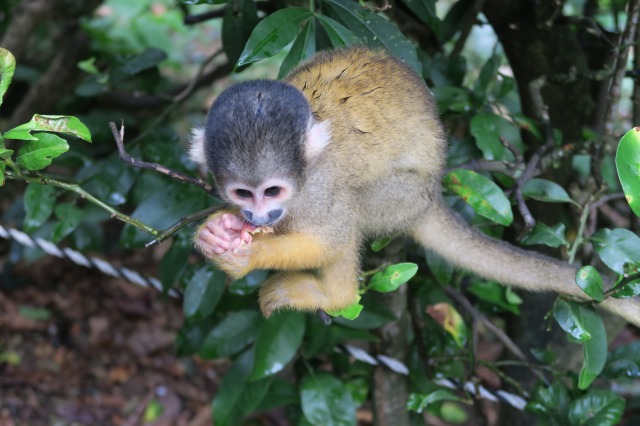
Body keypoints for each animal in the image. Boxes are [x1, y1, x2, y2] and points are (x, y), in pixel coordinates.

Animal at [188, 47, 640, 326]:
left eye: (273, 191)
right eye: (243, 194)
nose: (259, 214)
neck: (302, 176)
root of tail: (432, 195)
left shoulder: (320, 187)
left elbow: (330, 239)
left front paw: (249, 255)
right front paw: (216, 231)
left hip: (400, 201)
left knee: (354, 213)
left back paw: (335, 297)